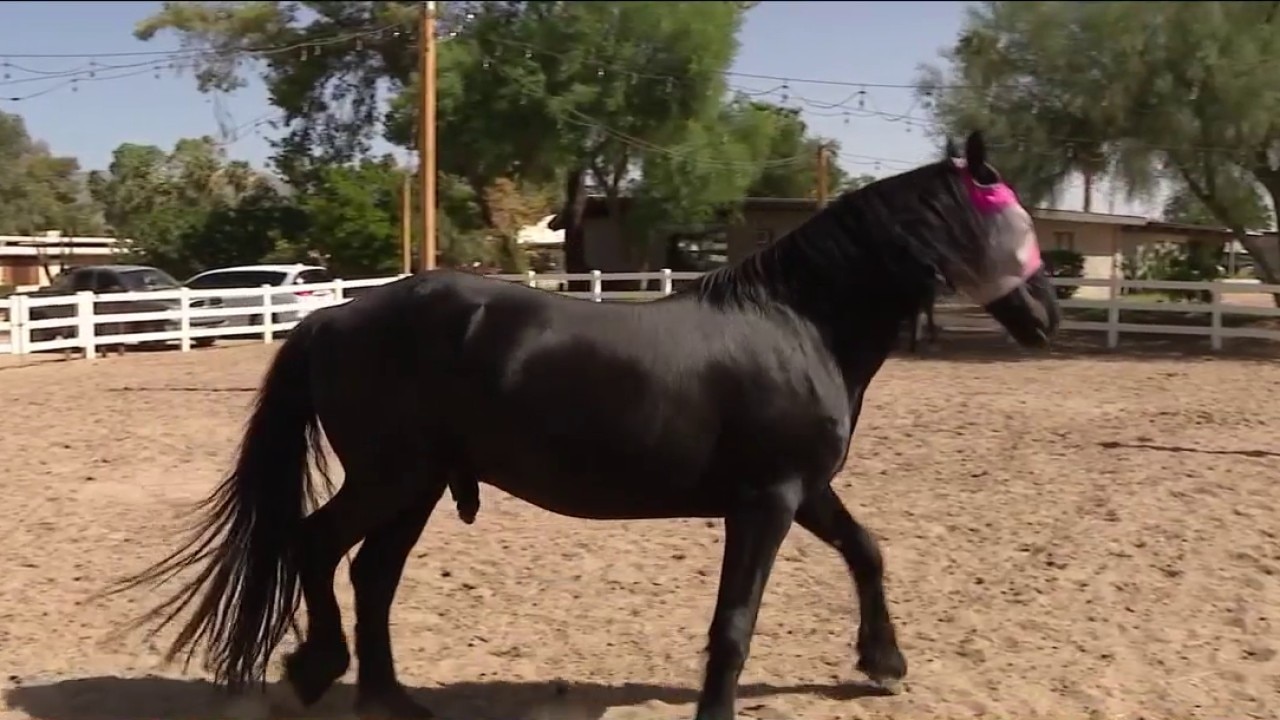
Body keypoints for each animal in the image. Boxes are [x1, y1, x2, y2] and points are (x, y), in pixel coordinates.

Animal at [105, 130, 1059, 720]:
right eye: (1011, 222)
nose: (1048, 314)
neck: (798, 324)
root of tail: (332, 317)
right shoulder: (766, 502)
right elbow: (735, 623)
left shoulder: (803, 491)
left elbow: (865, 551)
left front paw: (883, 665)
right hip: (393, 478)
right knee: (317, 547)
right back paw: (317, 670)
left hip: (416, 487)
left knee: (371, 575)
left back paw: (388, 695)